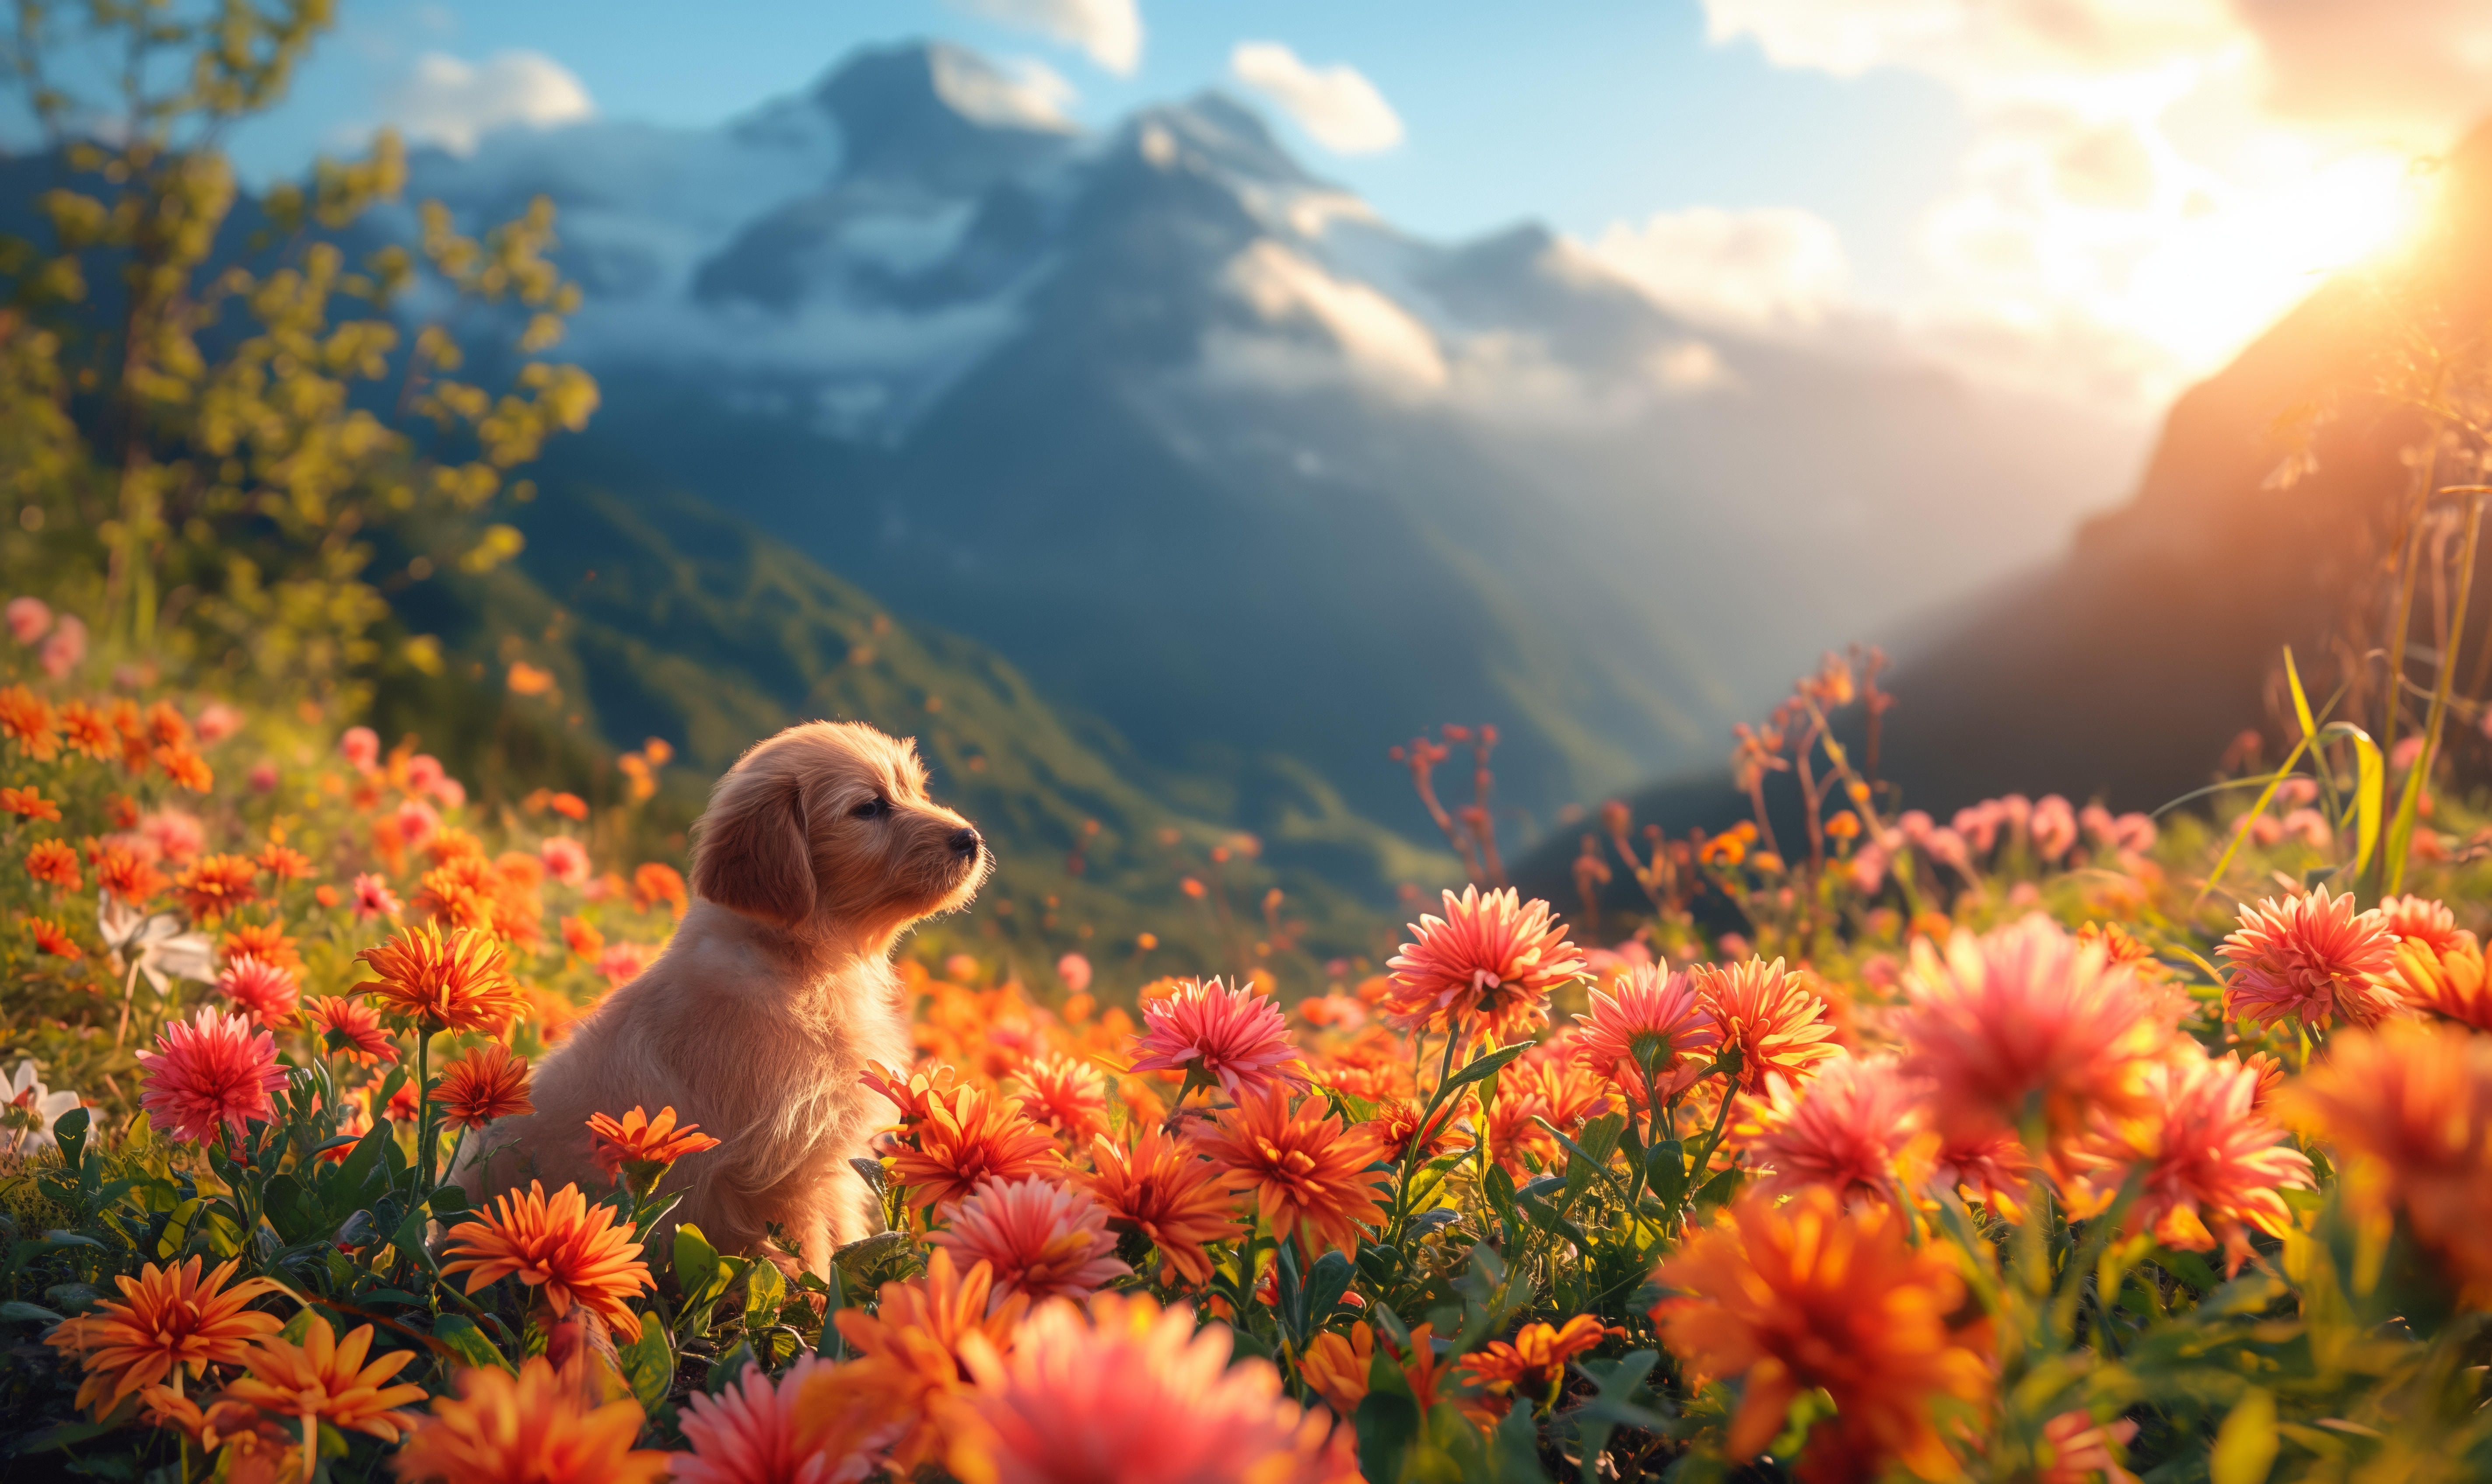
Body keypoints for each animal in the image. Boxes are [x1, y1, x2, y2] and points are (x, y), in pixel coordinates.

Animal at [476, 722, 992, 1274]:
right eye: (870, 807)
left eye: (916, 790)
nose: (971, 838)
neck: (800, 964)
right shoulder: (778, 1171)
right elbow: (811, 1258)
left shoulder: (823, 1161)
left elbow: (847, 1234)